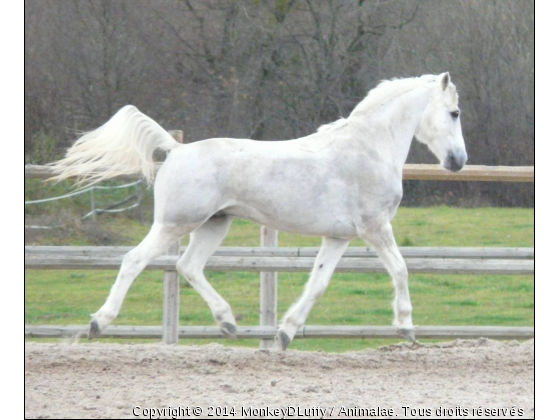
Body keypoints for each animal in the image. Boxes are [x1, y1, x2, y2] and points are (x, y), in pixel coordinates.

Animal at [50, 73, 466, 352]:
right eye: (454, 112)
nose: (458, 161)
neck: (369, 147)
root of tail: (176, 149)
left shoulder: (338, 237)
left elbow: (318, 284)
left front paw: (285, 333)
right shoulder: (375, 227)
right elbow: (400, 269)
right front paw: (406, 327)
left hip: (214, 225)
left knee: (188, 266)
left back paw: (228, 323)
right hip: (175, 224)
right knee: (134, 260)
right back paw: (98, 323)